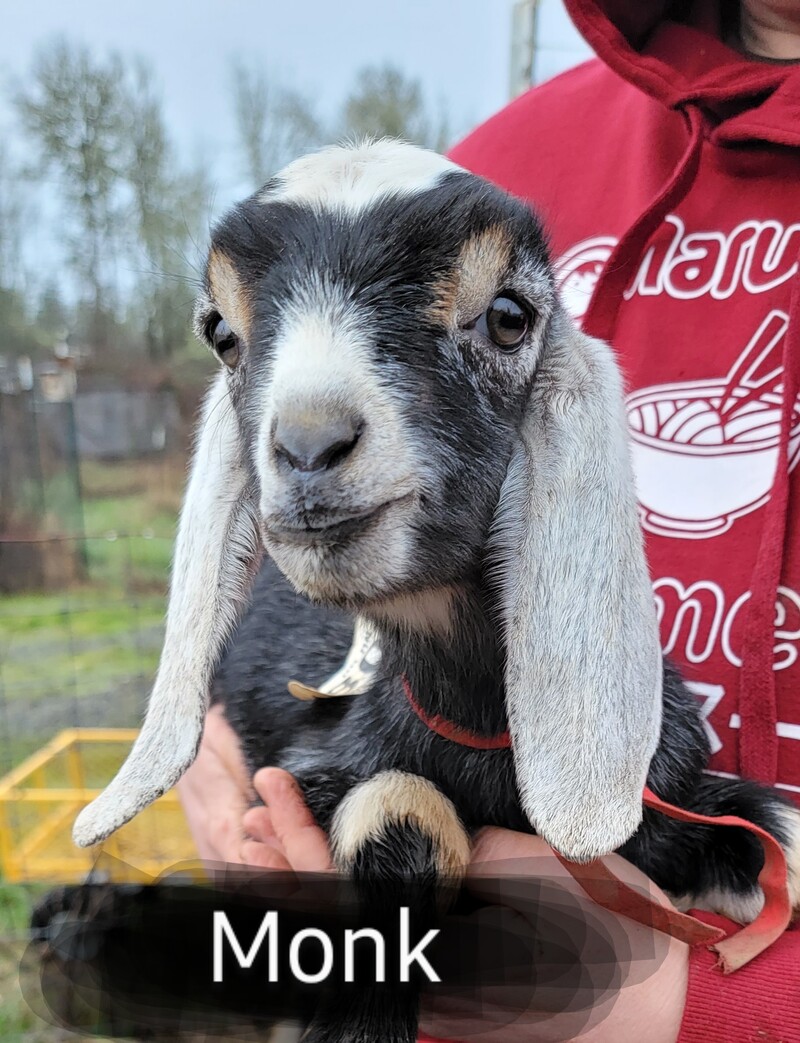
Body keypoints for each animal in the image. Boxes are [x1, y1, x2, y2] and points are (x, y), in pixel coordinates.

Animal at [71, 140, 796, 1043]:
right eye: (222, 335)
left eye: (510, 316)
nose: (309, 446)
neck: (480, 728)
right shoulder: (313, 773)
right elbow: (400, 805)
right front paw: (357, 1021)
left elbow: (767, 828)